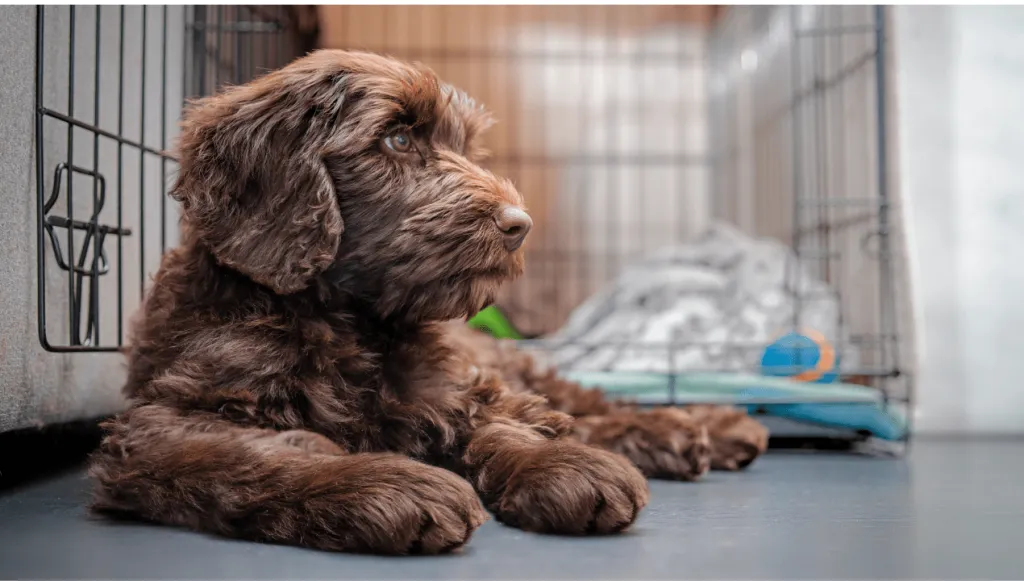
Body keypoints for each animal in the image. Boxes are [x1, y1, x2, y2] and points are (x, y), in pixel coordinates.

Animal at [90, 52, 647, 557]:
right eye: (397, 139)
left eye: (465, 147)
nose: (519, 225)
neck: (346, 320)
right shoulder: (163, 424)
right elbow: (259, 452)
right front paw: (388, 486)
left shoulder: (452, 383)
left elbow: (498, 420)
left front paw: (561, 464)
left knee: (594, 407)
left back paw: (666, 432)